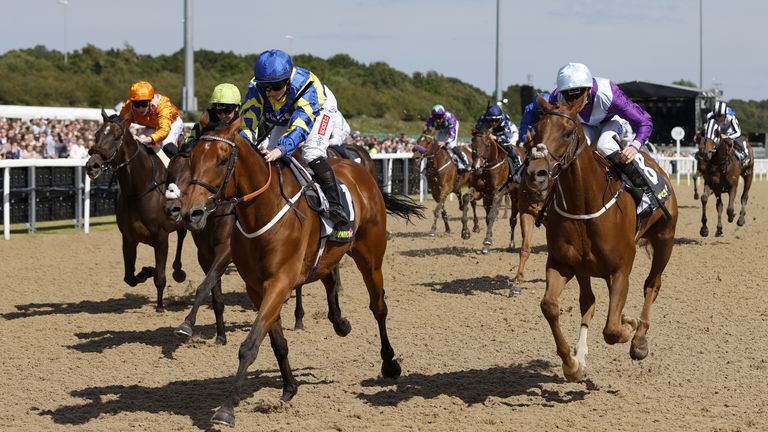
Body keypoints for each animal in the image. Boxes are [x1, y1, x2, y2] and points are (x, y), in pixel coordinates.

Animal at [85, 108, 187, 310]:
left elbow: (160, 277)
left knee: (182, 235)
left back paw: (179, 272)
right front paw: (145, 271)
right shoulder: (128, 238)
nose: (92, 165)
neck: (139, 191)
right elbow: (129, 278)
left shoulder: (161, 238)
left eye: (117, 137)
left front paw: (160, 306)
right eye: (97, 134)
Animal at [177, 118, 424, 426]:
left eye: (223, 161)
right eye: (192, 159)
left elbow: (250, 345)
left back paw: (389, 363)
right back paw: (340, 323)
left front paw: (226, 409)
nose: (192, 213)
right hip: (327, 253)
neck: (262, 210)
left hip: (370, 256)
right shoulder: (256, 287)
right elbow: (276, 342)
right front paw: (289, 387)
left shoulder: (280, 282)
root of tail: (361, 172)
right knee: (329, 278)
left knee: (378, 307)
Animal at [536, 95, 680, 382]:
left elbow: (612, 330)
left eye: (567, 132)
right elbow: (549, 306)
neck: (583, 204)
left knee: (652, 285)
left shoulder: (619, 271)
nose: (536, 172)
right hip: (583, 268)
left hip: (665, 241)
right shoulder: (561, 263)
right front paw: (572, 363)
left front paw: (629, 325)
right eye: (535, 130)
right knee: (588, 302)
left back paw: (639, 340)